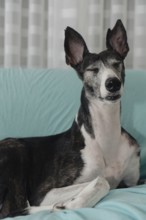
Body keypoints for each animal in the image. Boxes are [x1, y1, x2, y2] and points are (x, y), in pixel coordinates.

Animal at [0, 19, 140, 218]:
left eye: (117, 63)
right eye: (92, 69)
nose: (113, 83)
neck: (105, 133)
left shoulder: (132, 181)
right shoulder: (44, 193)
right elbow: (102, 180)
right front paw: (73, 203)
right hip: (14, 148)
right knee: (11, 209)